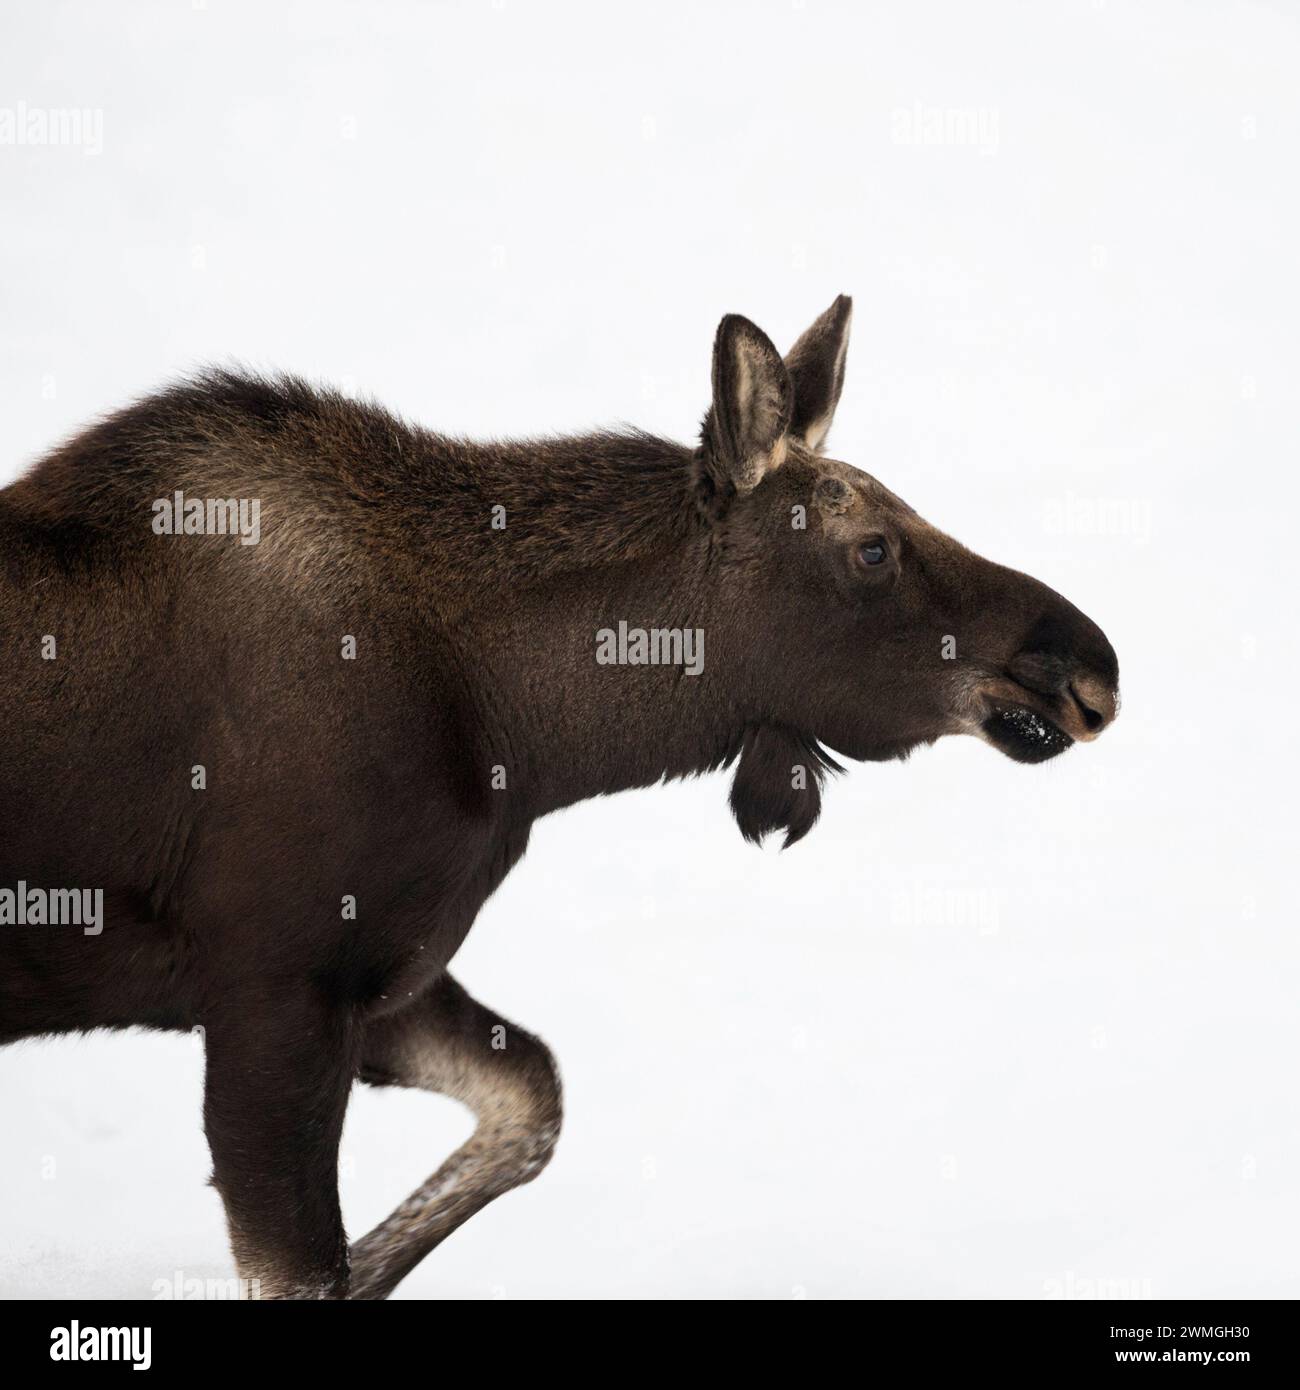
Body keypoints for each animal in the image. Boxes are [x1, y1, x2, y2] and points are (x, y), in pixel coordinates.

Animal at [0, 298, 1117, 1295]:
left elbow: (530, 1104)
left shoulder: (380, 975)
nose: (1089, 665)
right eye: (873, 547)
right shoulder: (275, 985)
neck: (526, 738)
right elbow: (306, 1267)